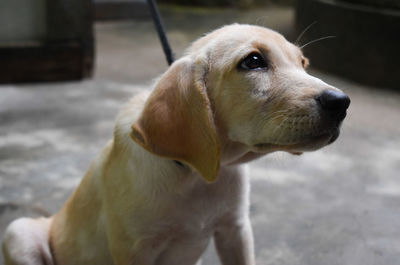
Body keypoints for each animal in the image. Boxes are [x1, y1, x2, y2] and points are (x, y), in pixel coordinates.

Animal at [1, 23, 348, 262]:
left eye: (303, 63)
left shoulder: (235, 230)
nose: (342, 102)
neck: (196, 174)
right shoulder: (135, 250)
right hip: (19, 232)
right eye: (253, 61)